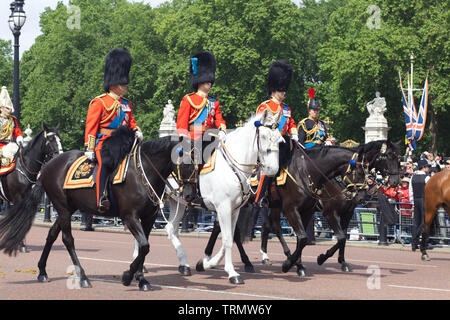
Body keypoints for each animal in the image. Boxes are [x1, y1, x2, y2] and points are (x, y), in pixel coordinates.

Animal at [0, 127, 179, 290]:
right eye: (50, 140)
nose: (185, 193)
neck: (142, 172)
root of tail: (48, 166)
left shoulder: (149, 217)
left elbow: (144, 246)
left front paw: (141, 279)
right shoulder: (130, 216)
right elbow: (143, 246)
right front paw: (127, 276)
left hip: (67, 209)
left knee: (52, 234)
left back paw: (42, 272)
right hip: (62, 207)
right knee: (67, 239)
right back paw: (83, 277)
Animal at [134, 111, 282, 284]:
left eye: (279, 138)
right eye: (264, 136)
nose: (273, 169)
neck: (233, 167)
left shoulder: (234, 209)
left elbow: (229, 238)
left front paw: (206, 263)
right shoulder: (223, 208)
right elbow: (228, 239)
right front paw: (232, 272)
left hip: (178, 202)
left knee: (170, 228)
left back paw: (183, 264)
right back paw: (140, 264)